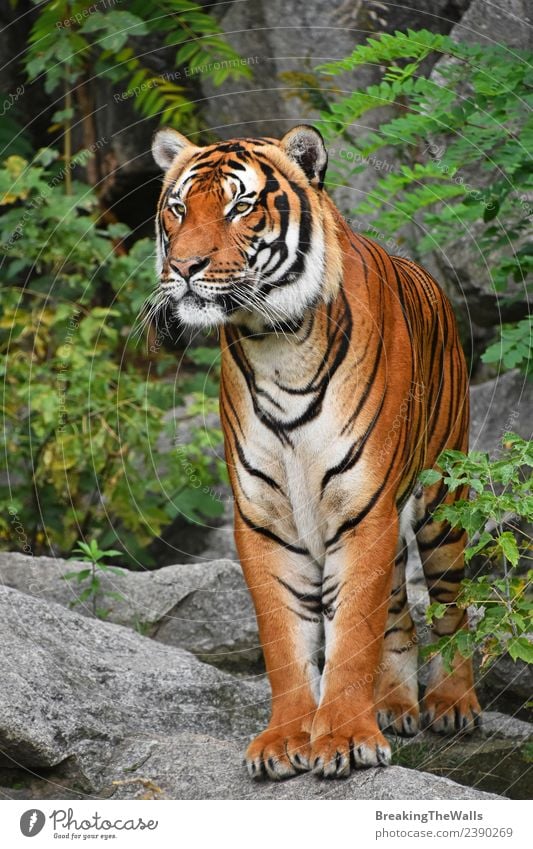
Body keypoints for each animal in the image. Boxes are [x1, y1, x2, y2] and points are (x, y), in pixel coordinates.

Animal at [151, 122, 482, 780]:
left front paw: (345, 738)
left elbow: (351, 634)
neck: (274, 343)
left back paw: (453, 705)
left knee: (450, 605)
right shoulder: (264, 519)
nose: (184, 266)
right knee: (399, 612)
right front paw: (285, 741)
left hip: (441, 505)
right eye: (177, 208)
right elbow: (286, 639)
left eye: (240, 206)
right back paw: (396, 706)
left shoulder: (364, 508)